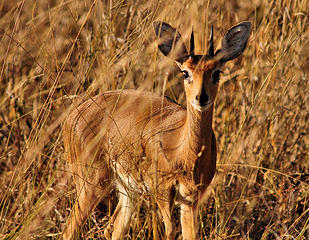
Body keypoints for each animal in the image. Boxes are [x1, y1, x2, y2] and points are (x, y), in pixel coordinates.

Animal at [61, 21, 249, 240]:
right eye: (185, 72)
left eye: (216, 72)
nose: (201, 98)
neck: (185, 153)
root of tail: (73, 115)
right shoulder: (162, 191)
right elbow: (170, 231)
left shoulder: (191, 199)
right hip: (91, 184)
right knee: (69, 230)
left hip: (127, 190)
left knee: (113, 229)